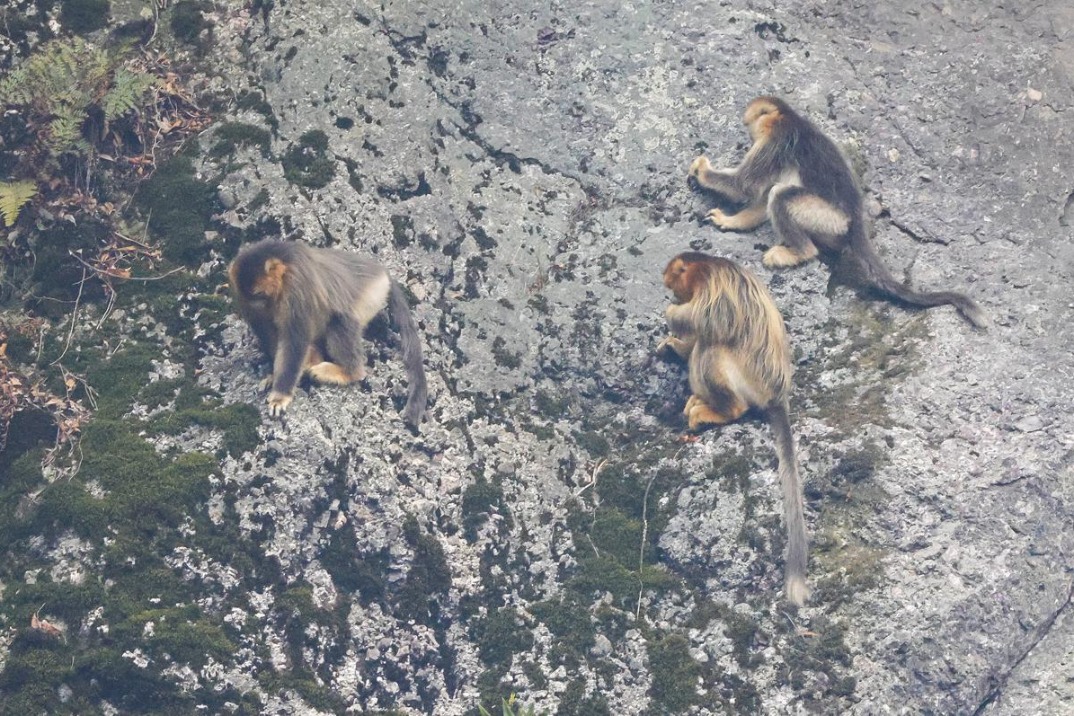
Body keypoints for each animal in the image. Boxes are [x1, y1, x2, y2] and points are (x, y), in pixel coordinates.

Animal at [228, 239, 428, 427]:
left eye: (259, 293)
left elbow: (294, 340)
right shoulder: (243, 299)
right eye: (250, 296)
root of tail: (383, 273)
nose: (257, 305)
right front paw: (274, 376)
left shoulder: (296, 287)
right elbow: (269, 333)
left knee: (339, 320)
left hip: (371, 296)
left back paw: (348, 372)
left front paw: (280, 395)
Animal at [658, 251, 808, 606]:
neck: (706, 268)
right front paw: (674, 343)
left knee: (712, 345)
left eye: (674, 277)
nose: (667, 285)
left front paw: (673, 313)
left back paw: (719, 410)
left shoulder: (716, 287)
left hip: (747, 379)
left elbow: (711, 321)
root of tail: (777, 395)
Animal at [688, 96, 986, 328]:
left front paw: (702, 170)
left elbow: (746, 186)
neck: (789, 118)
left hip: (829, 219)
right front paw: (734, 221)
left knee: (781, 195)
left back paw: (799, 252)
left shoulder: (777, 140)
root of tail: (855, 223)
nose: (749, 135)